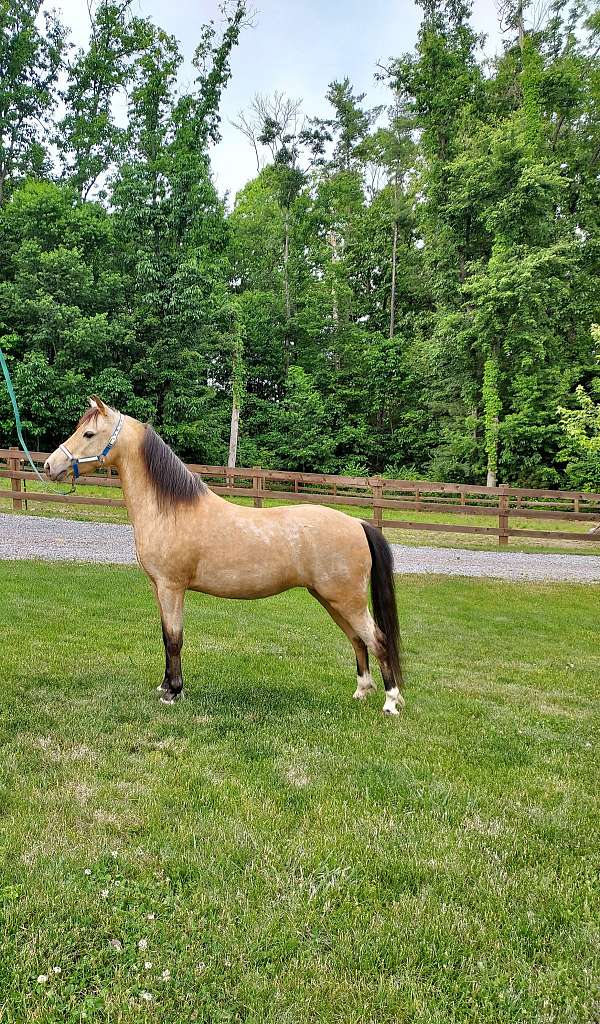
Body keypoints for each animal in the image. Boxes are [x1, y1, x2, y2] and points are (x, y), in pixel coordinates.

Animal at [44, 397, 404, 715]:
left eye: (89, 434)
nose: (49, 466)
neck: (170, 509)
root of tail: (357, 523)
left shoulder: (172, 588)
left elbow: (174, 639)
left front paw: (173, 693)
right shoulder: (158, 588)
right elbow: (165, 636)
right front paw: (165, 685)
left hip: (347, 600)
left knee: (378, 640)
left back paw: (390, 703)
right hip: (331, 600)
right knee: (358, 640)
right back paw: (362, 691)